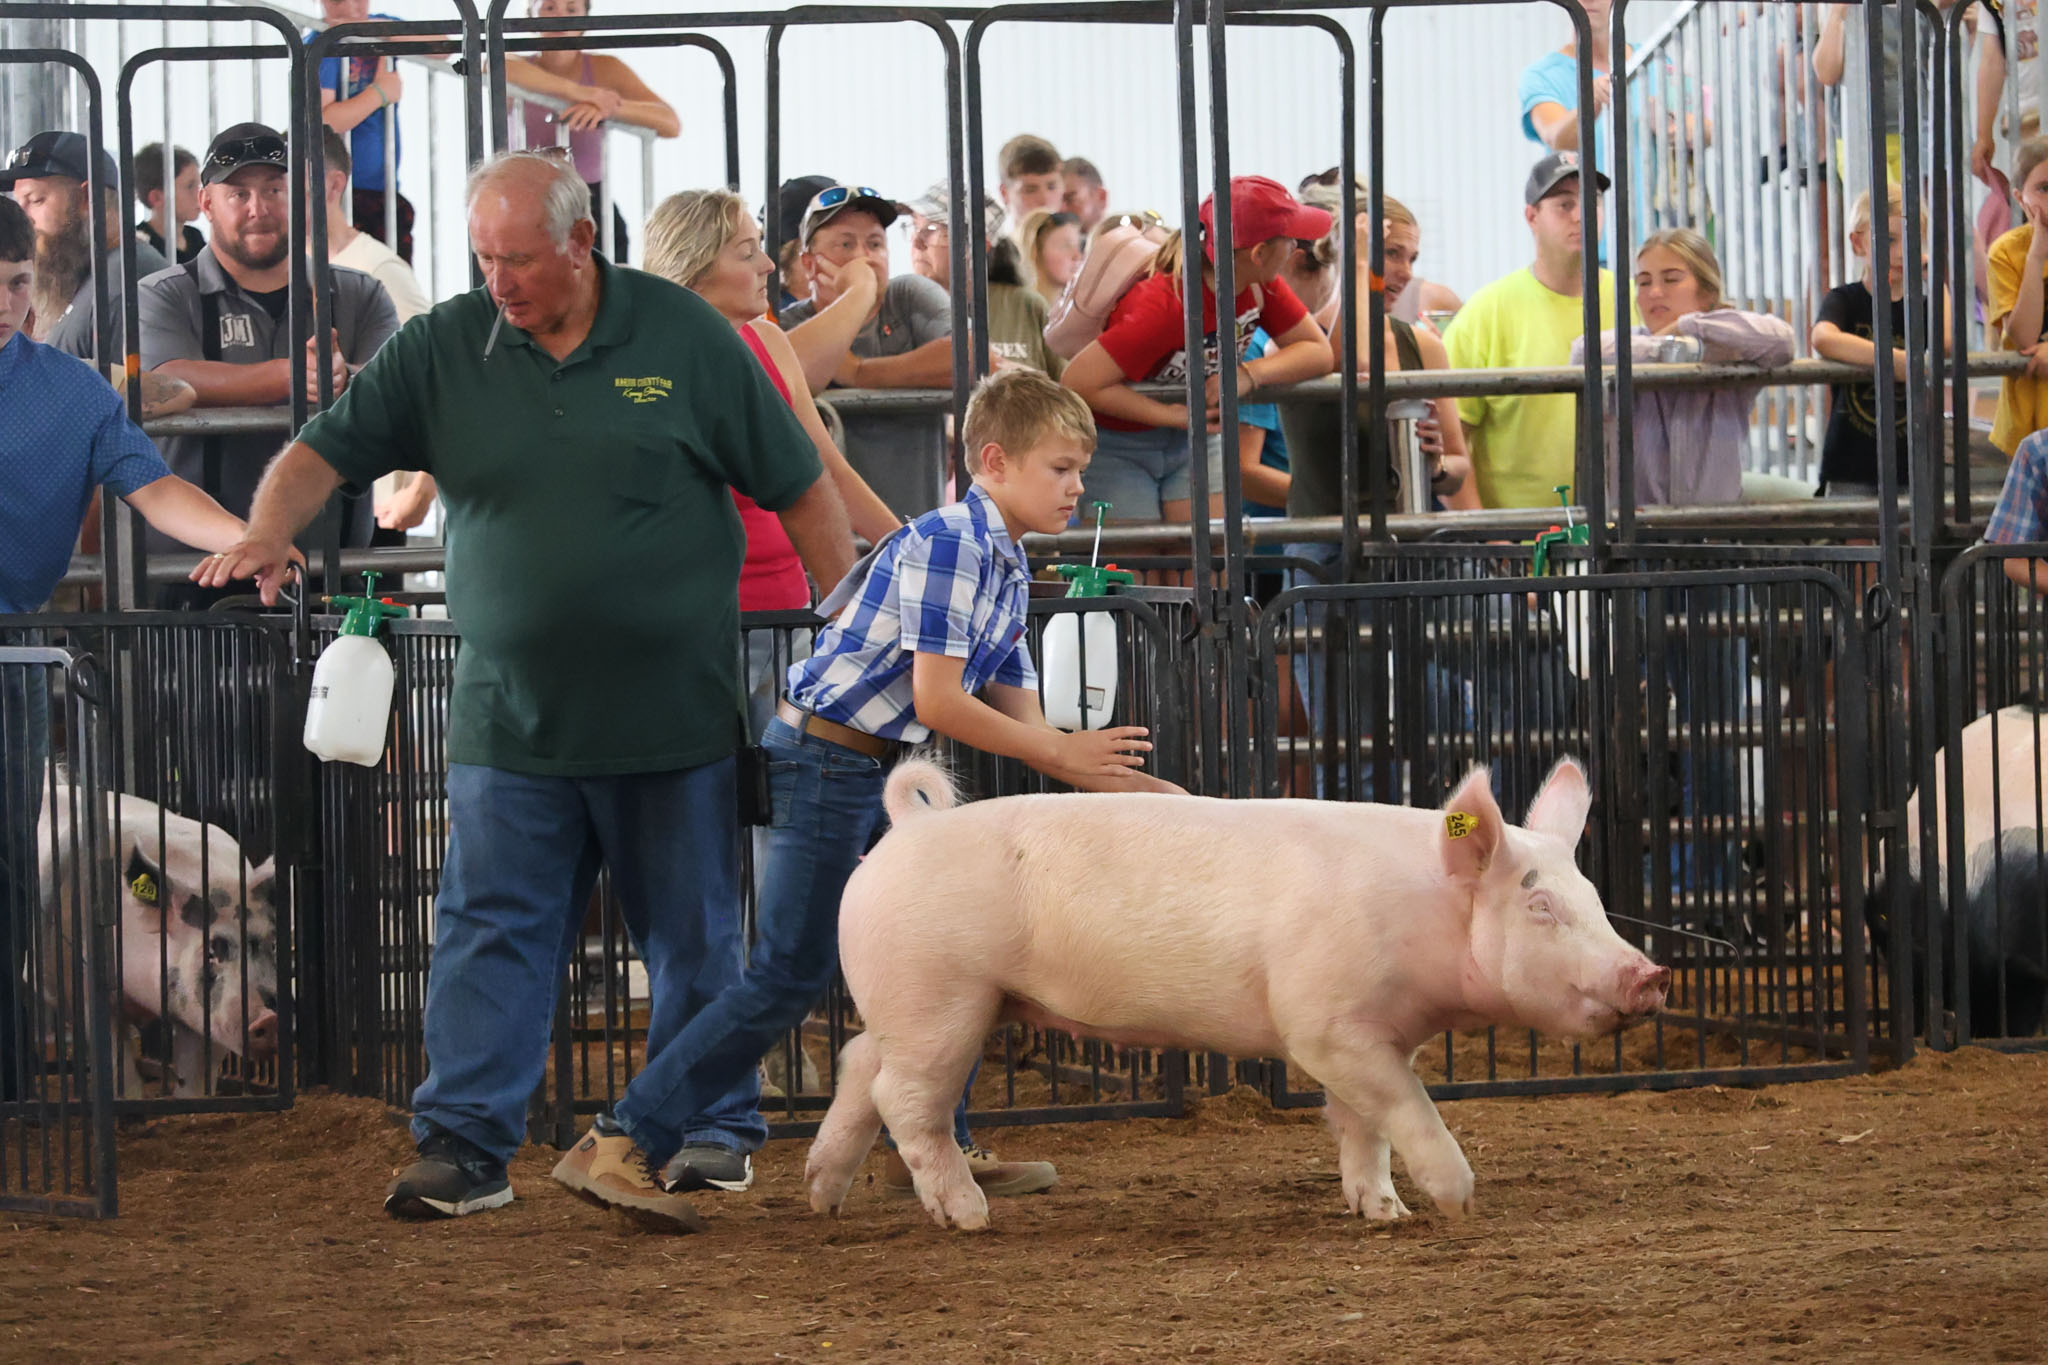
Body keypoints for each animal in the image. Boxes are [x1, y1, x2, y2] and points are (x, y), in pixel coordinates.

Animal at [35, 789, 279, 1098]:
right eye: (211, 951)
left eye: (274, 944)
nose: (269, 1018)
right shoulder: (89, 992)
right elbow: (121, 1070)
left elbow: (195, 1081)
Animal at [804, 756, 1669, 1231]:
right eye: (1541, 905)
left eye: (1594, 897)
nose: (1650, 974)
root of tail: (903, 830)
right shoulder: (1323, 1023)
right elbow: (1408, 1108)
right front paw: (1457, 1203)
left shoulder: (1374, 1032)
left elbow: (1365, 1126)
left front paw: (1381, 1211)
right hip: (942, 997)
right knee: (903, 1100)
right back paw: (970, 1217)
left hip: (906, 1002)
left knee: (856, 1065)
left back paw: (822, 1196)